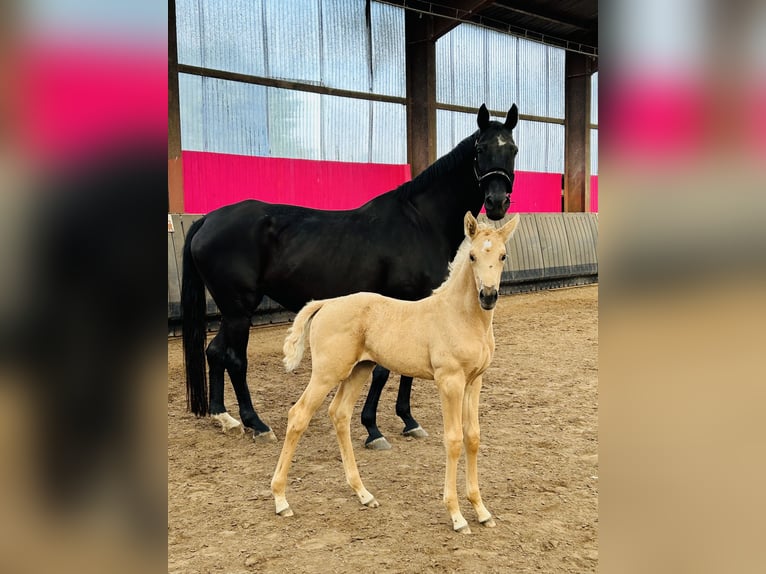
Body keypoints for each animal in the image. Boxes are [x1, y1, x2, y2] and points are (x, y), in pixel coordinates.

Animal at [182, 103, 520, 450]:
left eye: (513, 150)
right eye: (480, 150)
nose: (496, 203)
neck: (419, 223)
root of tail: (207, 220)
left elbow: (404, 369)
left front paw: (408, 420)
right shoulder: (400, 301)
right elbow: (383, 370)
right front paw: (373, 428)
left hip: (233, 311)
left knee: (214, 352)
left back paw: (223, 417)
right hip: (239, 311)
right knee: (235, 359)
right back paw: (256, 423)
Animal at [272, 213, 520, 536]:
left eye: (503, 255)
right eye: (473, 256)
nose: (488, 296)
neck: (461, 317)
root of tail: (326, 303)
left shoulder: (473, 382)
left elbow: (473, 438)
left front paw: (481, 511)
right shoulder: (449, 382)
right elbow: (453, 440)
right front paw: (457, 516)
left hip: (359, 370)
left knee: (339, 414)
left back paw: (363, 493)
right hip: (327, 373)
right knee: (298, 415)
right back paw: (280, 500)